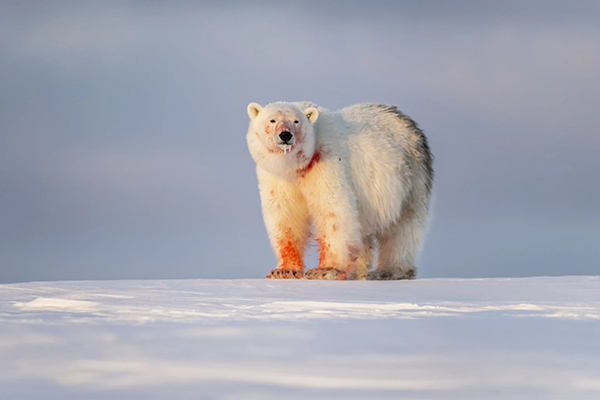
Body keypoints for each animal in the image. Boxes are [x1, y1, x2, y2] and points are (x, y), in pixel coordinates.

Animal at [246, 101, 434, 280]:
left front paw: (324, 270)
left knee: (403, 228)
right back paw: (356, 272)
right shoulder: (277, 178)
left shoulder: (326, 162)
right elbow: (285, 215)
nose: (285, 135)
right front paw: (283, 271)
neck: (296, 167)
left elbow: (333, 211)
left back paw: (389, 271)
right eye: (272, 120)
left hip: (410, 178)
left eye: (296, 121)